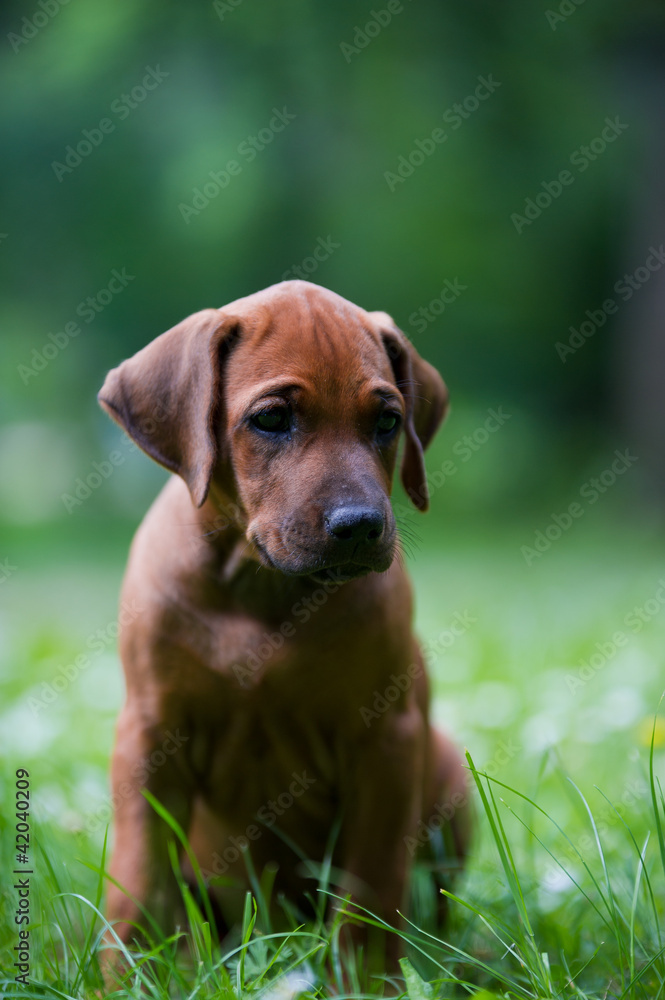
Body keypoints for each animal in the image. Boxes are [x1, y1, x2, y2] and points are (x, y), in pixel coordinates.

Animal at [98, 280, 470, 968]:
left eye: (387, 421)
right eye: (271, 419)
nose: (360, 526)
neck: (261, 586)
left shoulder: (385, 740)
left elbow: (370, 890)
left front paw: (366, 979)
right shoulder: (148, 735)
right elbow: (138, 880)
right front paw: (127, 974)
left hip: (446, 772)